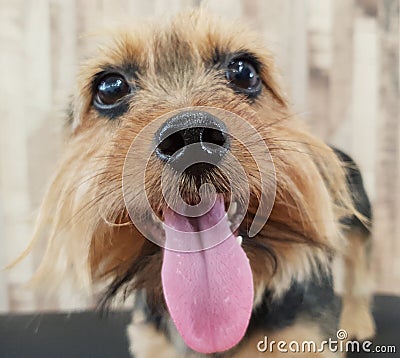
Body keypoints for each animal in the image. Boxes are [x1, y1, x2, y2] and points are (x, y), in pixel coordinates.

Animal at [28, 9, 376, 358]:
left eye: (244, 71)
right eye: (109, 88)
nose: (191, 136)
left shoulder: (303, 338)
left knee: (358, 273)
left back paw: (357, 320)